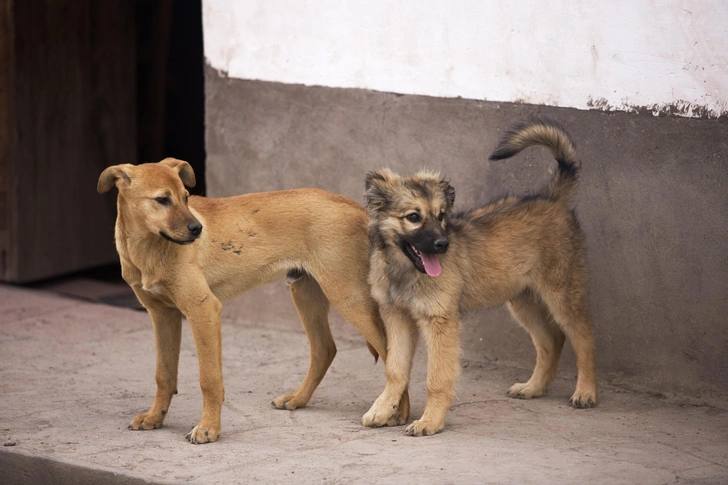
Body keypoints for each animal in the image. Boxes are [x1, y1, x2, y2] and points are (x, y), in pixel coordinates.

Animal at [96, 158, 410, 442]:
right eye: (162, 200)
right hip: (305, 293)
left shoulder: (203, 309)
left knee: (392, 356)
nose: (197, 230)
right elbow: (164, 374)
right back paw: (297, 399)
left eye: (186, 198)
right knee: (325, 349)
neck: (147, 247)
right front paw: (154, 417)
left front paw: (208, 428)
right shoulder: (162, 315)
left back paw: (396, 413)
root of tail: (354, 205)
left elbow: (209, 379)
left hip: (348, 296)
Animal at [362, 120, 596, 434]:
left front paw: (430, 420)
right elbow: (395, 370)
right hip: (523, 301)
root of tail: (552, 198)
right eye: (413, 217)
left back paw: (586, 391)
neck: (405, 269)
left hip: (562, 293)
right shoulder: (397, 318)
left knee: (583, 337)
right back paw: (533, 387)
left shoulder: (440, 323)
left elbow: (436, 378)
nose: (443, 245)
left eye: (441, 216)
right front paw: (382, 409)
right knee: (552, 340)